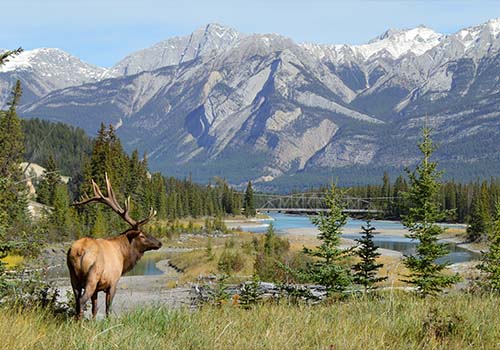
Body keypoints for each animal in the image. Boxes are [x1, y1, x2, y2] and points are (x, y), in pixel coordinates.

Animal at [67, 174, 162, 318]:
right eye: (142, 235)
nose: (159, 243)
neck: (123, 255)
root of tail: (80, 251)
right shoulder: (113, 282)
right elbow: (108, 308)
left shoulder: (97, 288)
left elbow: (95, 309)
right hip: (92, 276)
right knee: (82, 300)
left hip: (73, 276)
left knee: (77, 301)